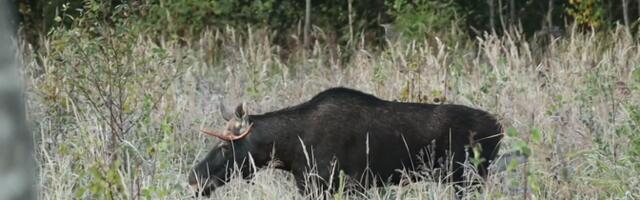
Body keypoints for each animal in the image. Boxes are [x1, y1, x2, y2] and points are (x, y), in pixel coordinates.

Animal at [188, 87, 502, 197]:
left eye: (225, 146)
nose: (194, 178)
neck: (290, 148)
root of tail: (499, 129)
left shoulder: (339, 184)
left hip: (467, 179)